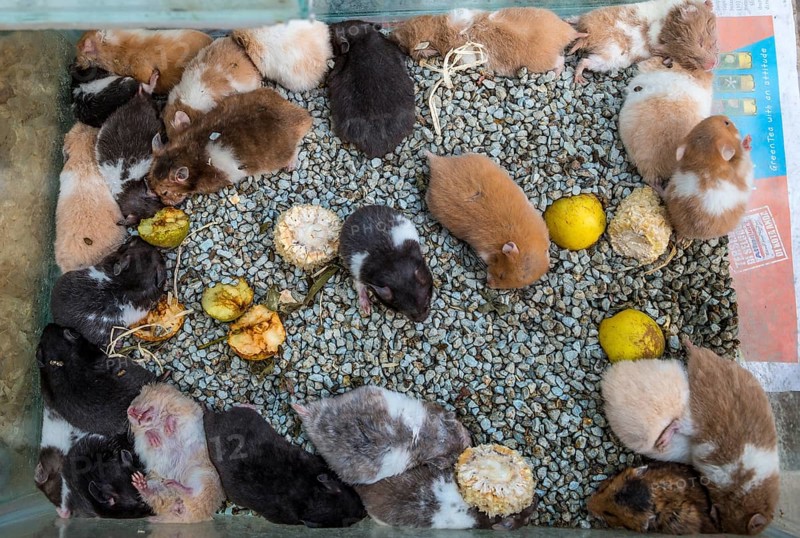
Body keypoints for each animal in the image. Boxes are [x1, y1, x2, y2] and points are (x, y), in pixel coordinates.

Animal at [96, 70, 164, 225]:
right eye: (152, 216)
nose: (165, 205)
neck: (127, 188)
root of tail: (138, 104)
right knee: (143, 90)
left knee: (144, 90)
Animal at [128, 383, 225, 523]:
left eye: (137, 398)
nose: (128, 410)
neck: (157, 420)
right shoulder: (140, 441)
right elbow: (147, 434)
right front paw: (156, 439)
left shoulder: (187, 412)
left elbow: (172, 417)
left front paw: (168, 429)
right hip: (157, 483)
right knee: (156, 496)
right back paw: (139, 481)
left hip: (205, 477)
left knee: (192, 493)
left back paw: (173, 485)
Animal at [148, 88, 312, 205]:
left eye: (165, 193)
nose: (165, 204)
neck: (186, 154)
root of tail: (303, 117)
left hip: (280, 156)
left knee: (295, 150)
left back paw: (290, 166)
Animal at [392, 8, 585, 77]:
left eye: (402, 46)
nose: (391, 35)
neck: (438, 30)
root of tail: (564, 35)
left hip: (542, 63)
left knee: (560, 60)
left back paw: (557, 75)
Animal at [570, 0, 718, 83]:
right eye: (700, 41)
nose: (712, 65)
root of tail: (588, 35)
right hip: (607, 57)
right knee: (583, 61)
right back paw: (579, 80)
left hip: (604, 57)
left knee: (578, 23)